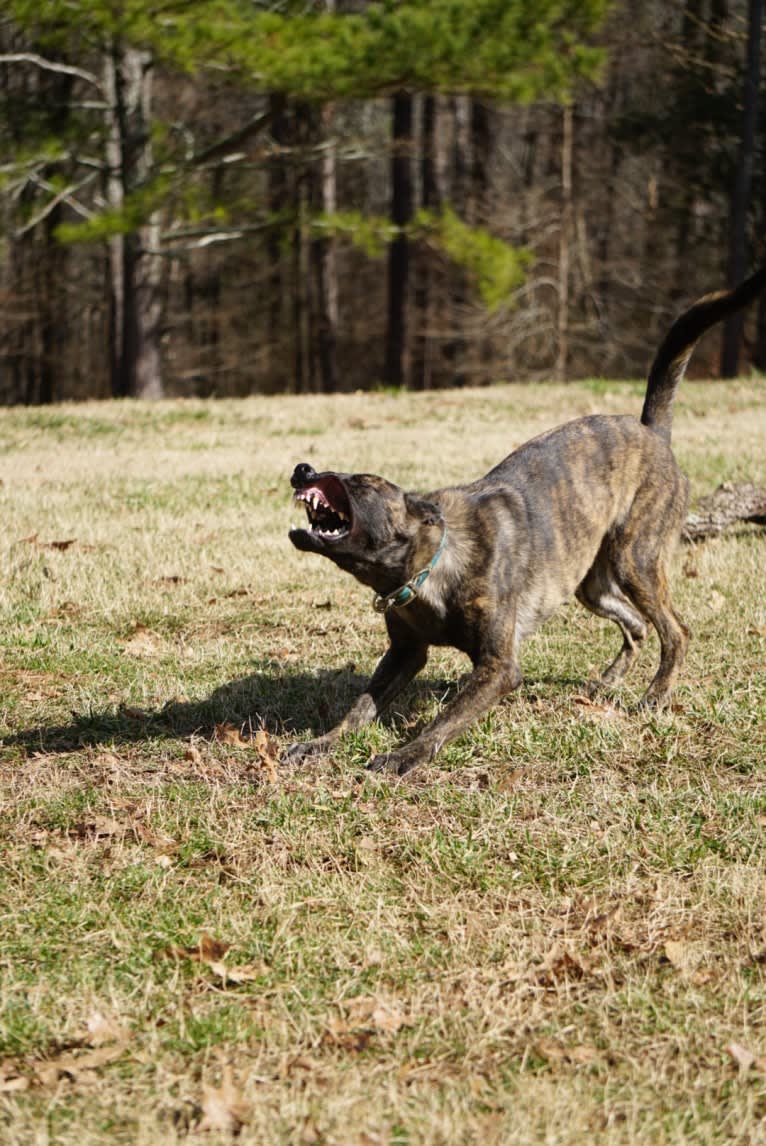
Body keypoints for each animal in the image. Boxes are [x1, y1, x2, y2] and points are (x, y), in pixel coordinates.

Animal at [285, 263, 766, 774]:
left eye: (359, 481)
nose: (303, 469)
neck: (431, 563)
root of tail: (652, 432)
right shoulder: (404, 655)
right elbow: (359, 708)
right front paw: (319, 743)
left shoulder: (498, 667)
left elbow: (446, 720)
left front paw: (405, 754)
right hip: (591, 583)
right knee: (635, 626)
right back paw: (608, 682)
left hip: (636, 560)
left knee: (675, 632)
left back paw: (654, 697)